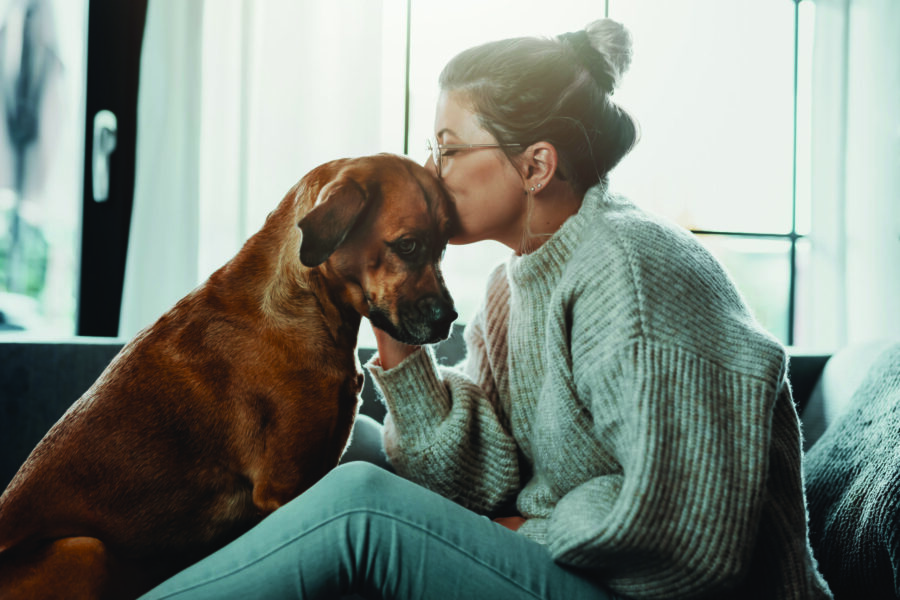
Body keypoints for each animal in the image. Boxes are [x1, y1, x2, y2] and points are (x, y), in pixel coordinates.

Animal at [0, 155, 454, 600]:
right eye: (407, 245)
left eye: (443, 247)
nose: (449, 319)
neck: (307, 305)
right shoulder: (286, 488)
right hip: (85, 550)